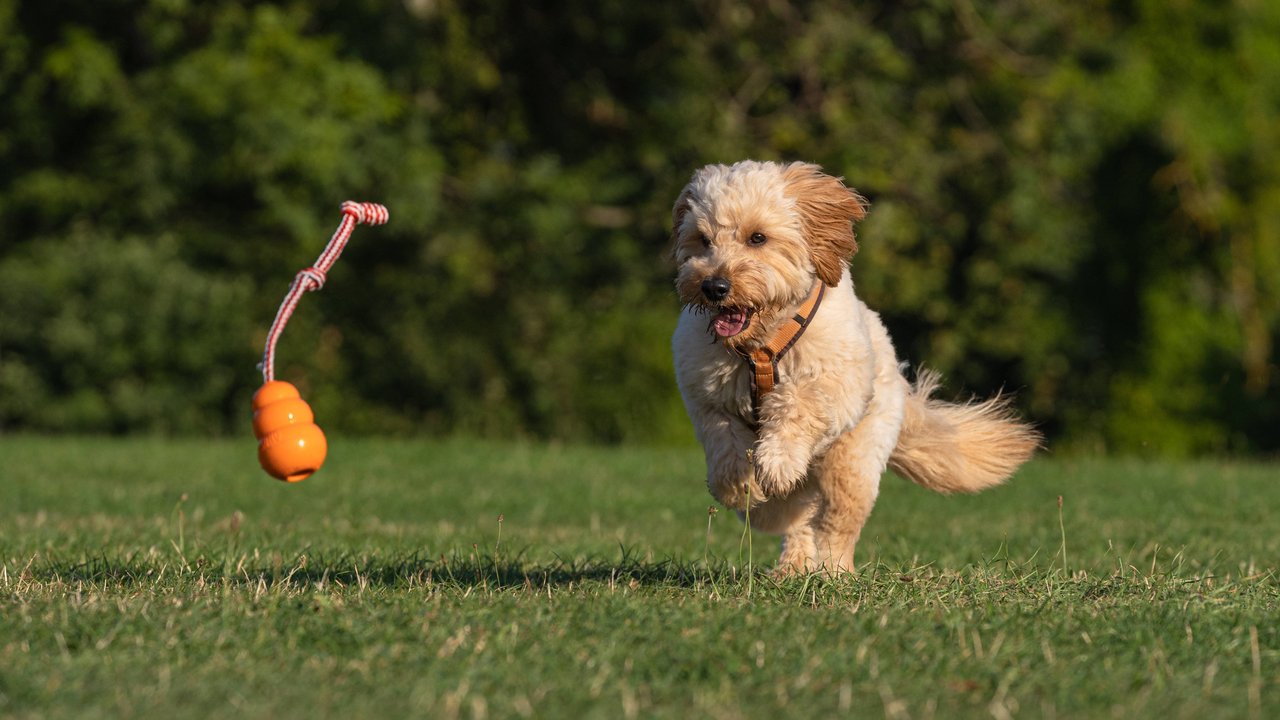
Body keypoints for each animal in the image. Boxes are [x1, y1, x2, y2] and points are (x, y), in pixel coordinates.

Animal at [670, 158, 1039, 571]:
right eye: (703, 239)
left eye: (757, 238)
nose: (714, 287)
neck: (763, 344)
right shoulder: (704, 393)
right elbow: (723, 436)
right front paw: (739, 484)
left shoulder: (837, 384)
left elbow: (799, 401)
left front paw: (777, 460)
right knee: (797, 519)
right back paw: (793, 566)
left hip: (852, 461)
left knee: (836, 522)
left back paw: (832, 570)